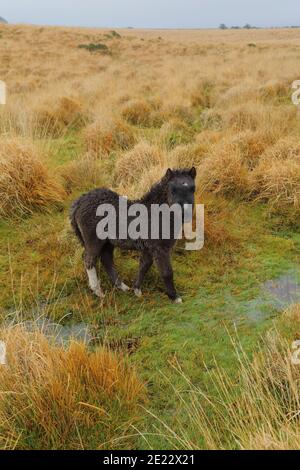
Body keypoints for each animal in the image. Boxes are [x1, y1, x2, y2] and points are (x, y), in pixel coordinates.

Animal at [70, 167, 197, 302]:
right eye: (172, 190)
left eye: (193, 188)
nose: (185, 213)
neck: (156, 214)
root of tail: (79, 202)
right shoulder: (160, 248)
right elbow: (166, 272)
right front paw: (174, 297)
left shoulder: (148, 248)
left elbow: (144, 266)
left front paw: (137, 290)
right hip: (94, 240)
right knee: (89, 259)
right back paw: (98, 291)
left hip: (108, 242)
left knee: (106, 259)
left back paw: (122, 287)